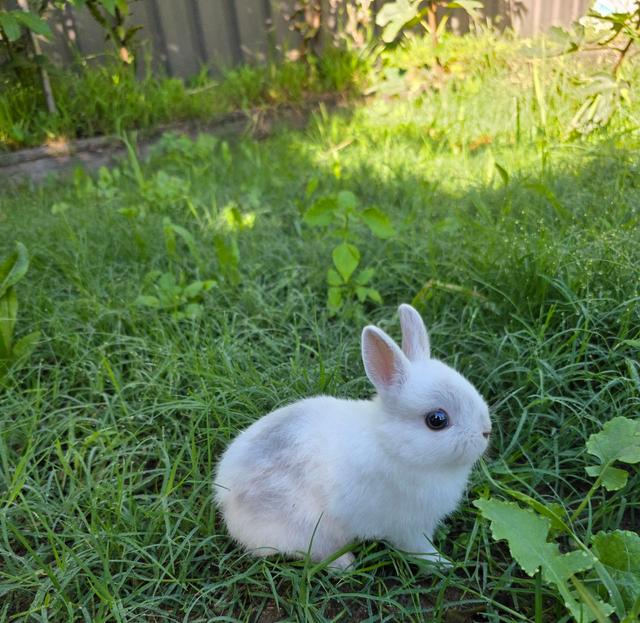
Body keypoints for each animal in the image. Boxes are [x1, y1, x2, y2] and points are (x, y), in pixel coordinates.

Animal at [214, 304, 491, 570]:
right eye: (437, 420)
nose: (486, 431)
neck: (391, 444)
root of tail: (226, 501)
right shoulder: (409, 528)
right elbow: (419, 550)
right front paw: (444, 564)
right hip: (311, 530)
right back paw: (346, 565)